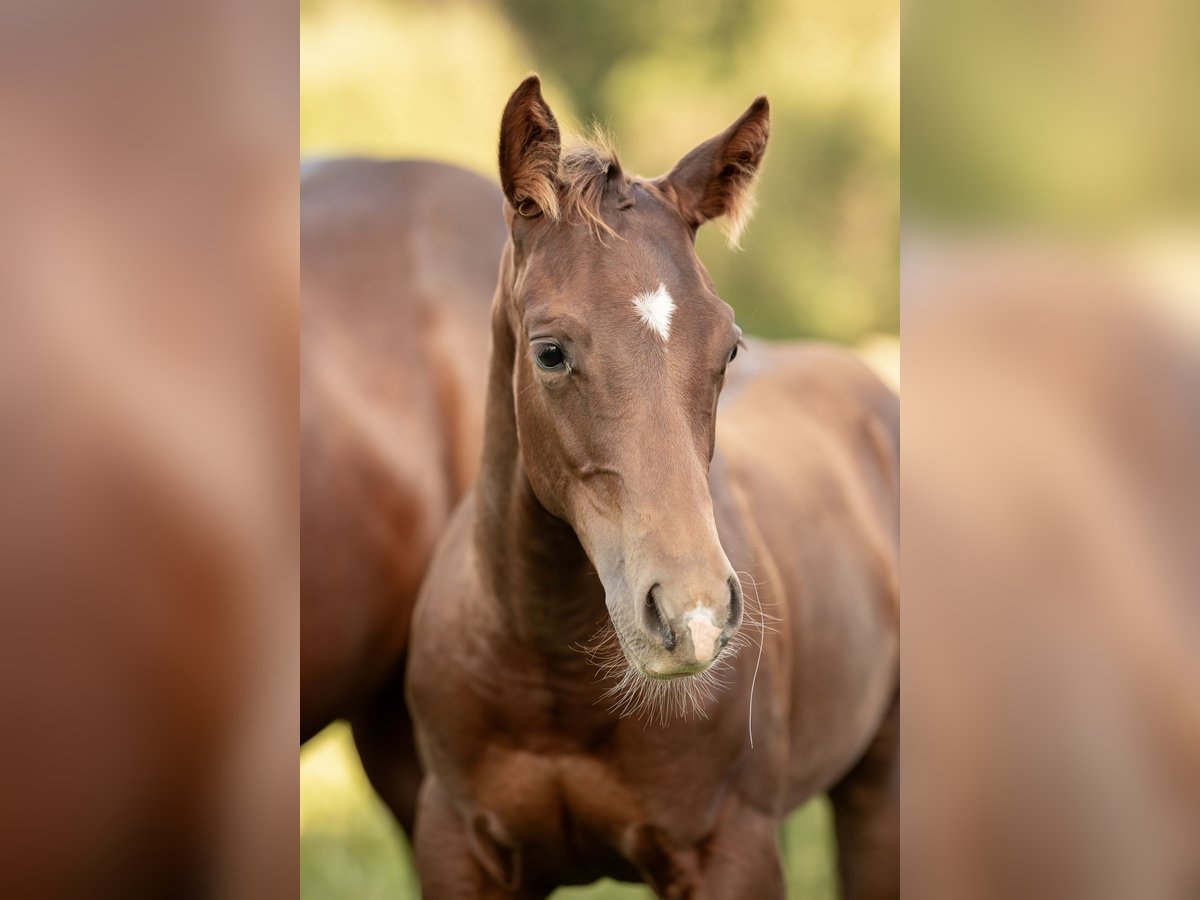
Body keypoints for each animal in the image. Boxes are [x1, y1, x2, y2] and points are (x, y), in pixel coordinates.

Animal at [408, 79, 897, 900]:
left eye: (728, 346)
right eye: (549, 352)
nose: (692, 616)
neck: (550, 674)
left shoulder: (732, 852)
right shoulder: (456, 849)